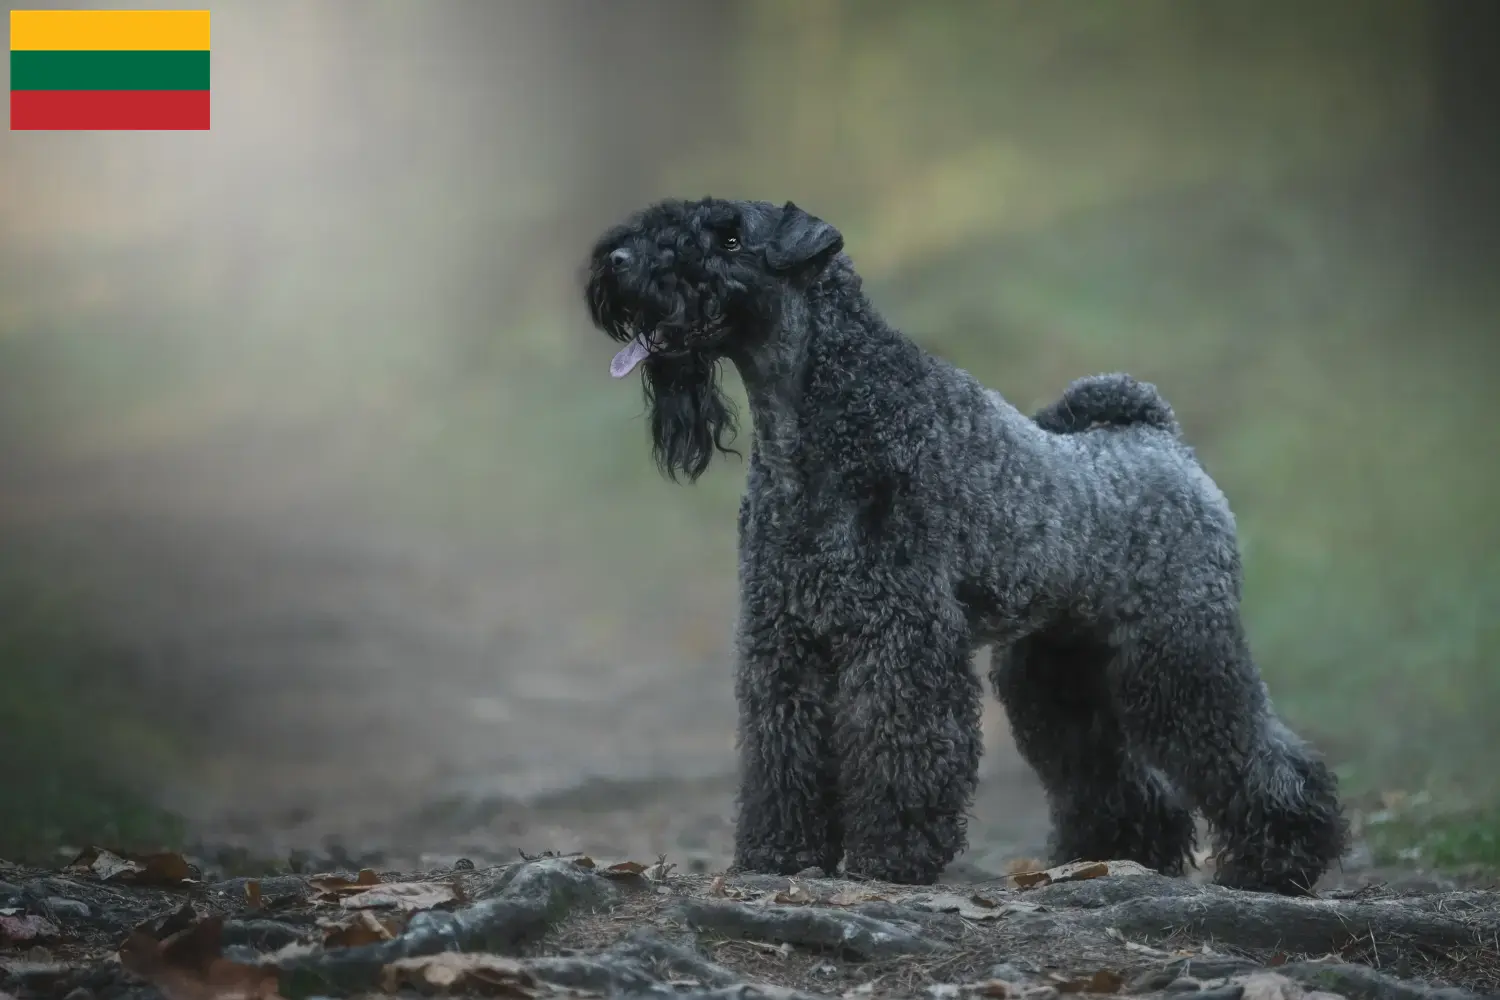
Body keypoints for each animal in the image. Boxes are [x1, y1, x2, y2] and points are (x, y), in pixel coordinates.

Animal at [582, 197, 1350, 899]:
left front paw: (889, 856)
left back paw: (1277, 861)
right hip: (1057, 671)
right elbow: (782, 750)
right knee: (1110, 771)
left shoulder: (900, 634)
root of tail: (1161, 439)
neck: (823, 420)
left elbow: (899, 745)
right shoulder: (784, 637)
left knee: (1254, 751)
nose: (615, 262)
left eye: (731, 237)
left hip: (1181, 653)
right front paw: (781, 852)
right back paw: (1113, 853)